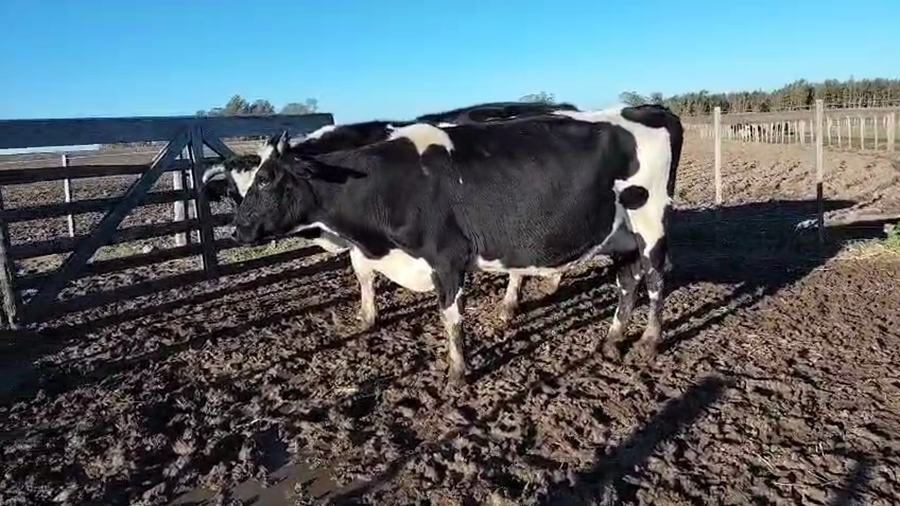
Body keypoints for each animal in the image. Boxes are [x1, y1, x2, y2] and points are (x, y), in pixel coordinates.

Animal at [201, 101, 583, 322]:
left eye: (263, 182)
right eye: (234, 194)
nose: (240, 231)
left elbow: (364, 274)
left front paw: (368, 316)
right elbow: (364, 275)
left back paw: (512, 302)